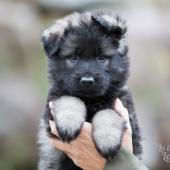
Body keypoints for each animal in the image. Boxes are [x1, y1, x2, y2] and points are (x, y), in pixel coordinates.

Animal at [38, 10, 142, 170]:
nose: (87, 81)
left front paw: (107, 140)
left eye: (101, 57)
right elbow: (70, 98)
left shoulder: (124, 106)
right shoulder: (50, 112)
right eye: (73, 57)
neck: (90, 100)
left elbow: (107, 112)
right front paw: (68, 124)